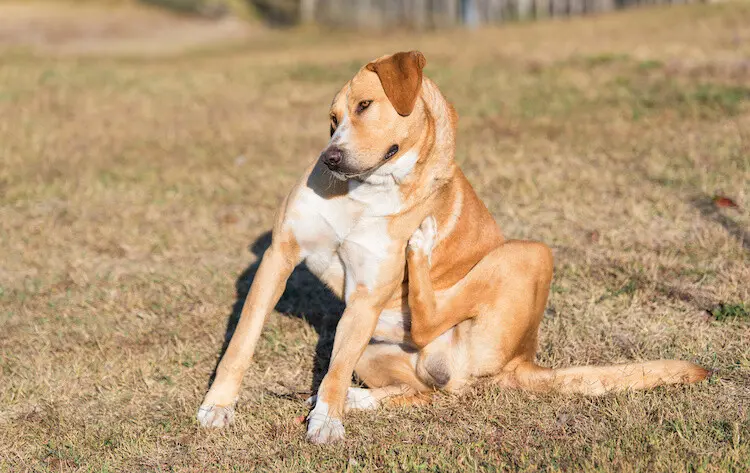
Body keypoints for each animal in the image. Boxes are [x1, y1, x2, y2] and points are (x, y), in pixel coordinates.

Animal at [197, 51, 708, 444]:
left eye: (366, 105)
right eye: (332, 120)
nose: (330, 159)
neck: (365, 192)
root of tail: (523, 360)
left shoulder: (367, 292)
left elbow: (335, 371)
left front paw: (326, 420)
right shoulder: (280, 257)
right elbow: (243, 340)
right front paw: (218, 406)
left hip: (528, 253)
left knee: (427, 325)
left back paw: (417, 257)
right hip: (373, 348)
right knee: (421, 390)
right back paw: (358, 399)